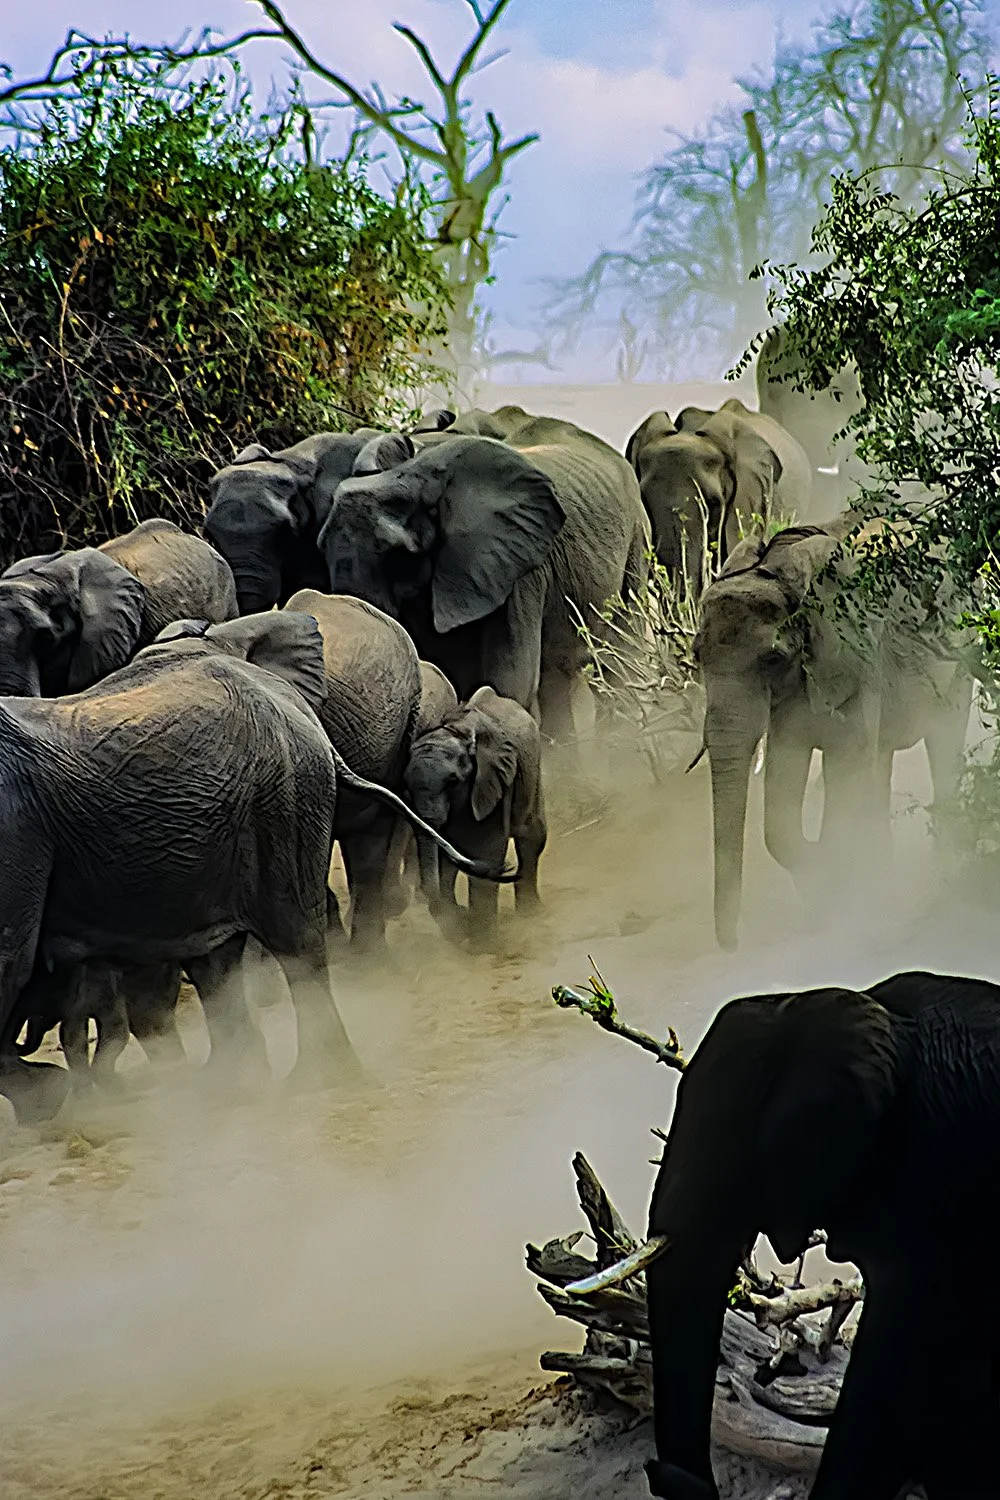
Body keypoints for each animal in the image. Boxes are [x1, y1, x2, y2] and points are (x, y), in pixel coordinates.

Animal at [0, 611, 507, 1120]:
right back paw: (233, 1085)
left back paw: (312, 1080)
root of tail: (284, 699)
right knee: (214, 961)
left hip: (283, 800)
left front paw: (47, 1097)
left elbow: (9, 969)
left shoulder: (15, 832)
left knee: (294, 943)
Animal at [319, 407, 649, 742]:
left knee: (620, 658)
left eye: (401, 558)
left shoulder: (517, 568)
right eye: (321, 546)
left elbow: (508, 681)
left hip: (637, 539)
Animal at [404, 685, 546, 945]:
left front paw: (481, 944)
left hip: (533, 771)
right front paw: (460, 926)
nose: (507, 870)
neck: (456, 732)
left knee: (532, 840)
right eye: (406, 789)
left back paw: (531, 915)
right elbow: (446, 859)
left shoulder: (492, 784)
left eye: (452, 782)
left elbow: (486, 849)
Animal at [696, 520, 972, 949]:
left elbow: (845, 764)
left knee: (943, 740)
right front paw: (823, 891)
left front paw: (829, 883)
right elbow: (784, 782)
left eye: (771, 659)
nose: (734, 945)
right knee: (880, 762)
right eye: (696, 656)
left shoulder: (857, 658)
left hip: (958, 657)